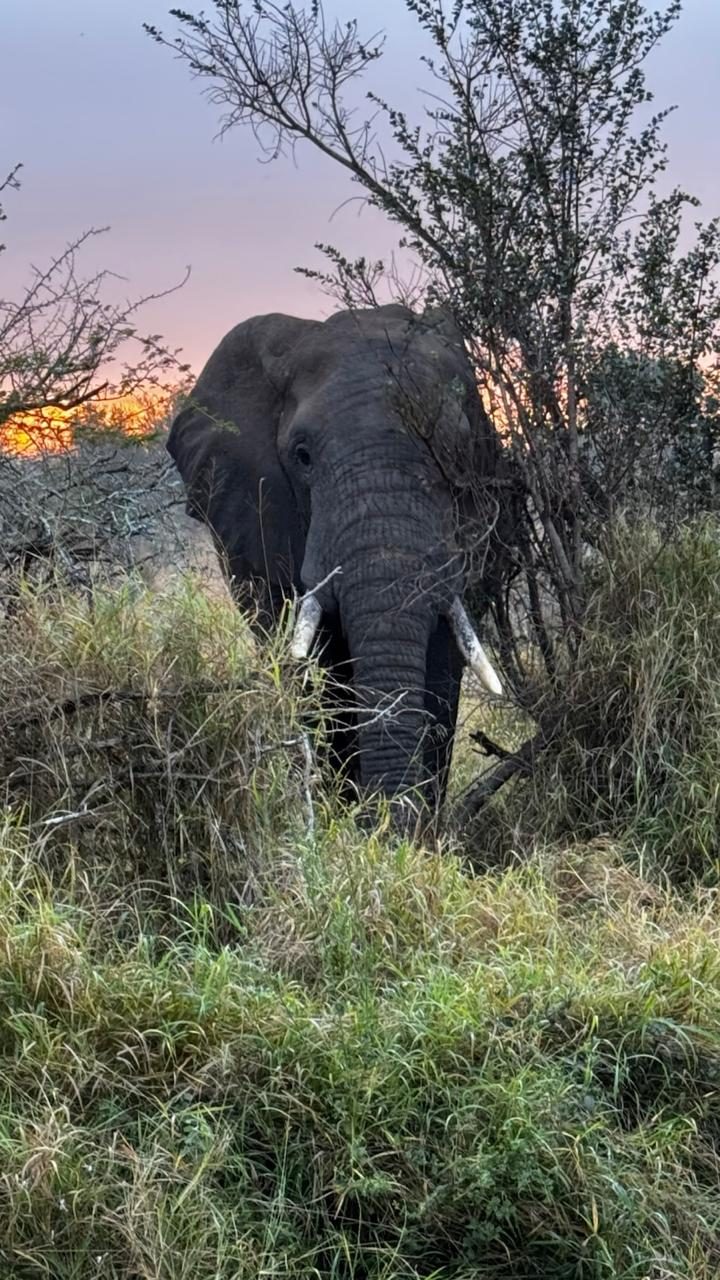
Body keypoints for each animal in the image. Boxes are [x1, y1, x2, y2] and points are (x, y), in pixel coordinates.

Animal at [167, 303, 503, 823]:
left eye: (456, 453)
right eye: (302, 456)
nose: (384, 820)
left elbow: (444, 660)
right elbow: (317, 670)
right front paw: (346, 821)